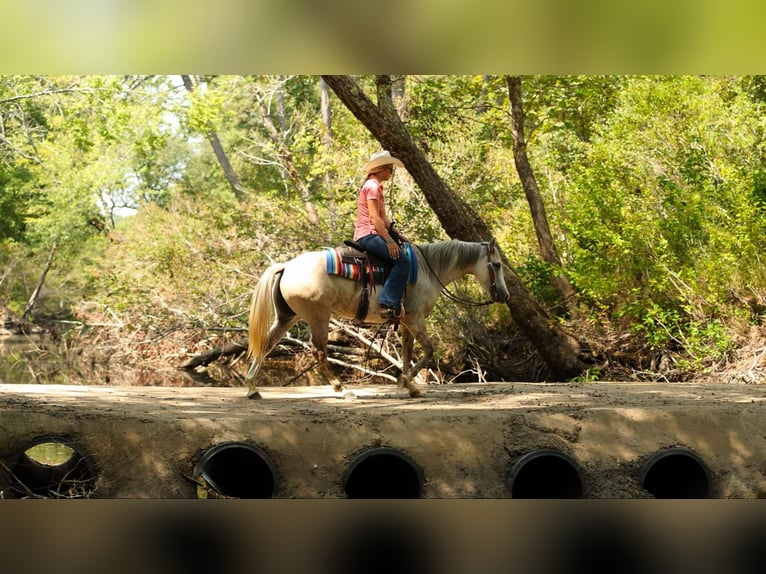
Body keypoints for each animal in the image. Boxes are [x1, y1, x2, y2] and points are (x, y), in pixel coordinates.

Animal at [245, 238, 510, 399]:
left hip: (288, 316)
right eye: (497, 265)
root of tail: (287, 266)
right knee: (319, 352)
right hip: (318, 317)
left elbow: (407, 352)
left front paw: (409, 385)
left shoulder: (406, 322)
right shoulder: (415, 319)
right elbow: (428, 350)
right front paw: (407, 381)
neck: (428, 270)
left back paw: (252, 388)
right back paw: (342, 389)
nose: (505, 295)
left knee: (267, 344)